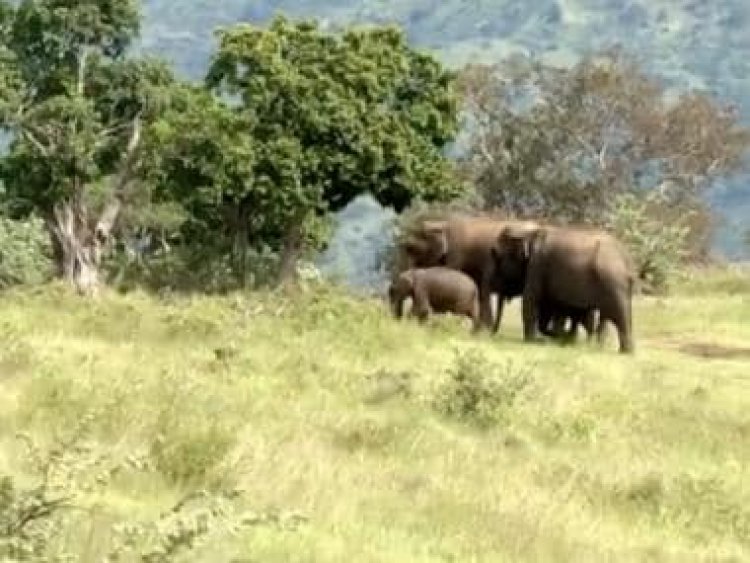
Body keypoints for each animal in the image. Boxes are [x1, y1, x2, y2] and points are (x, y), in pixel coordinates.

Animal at [494, 224, 636, 352]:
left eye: (499, 257)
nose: (492, 334)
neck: (530, 232)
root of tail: (627, 260)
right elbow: (552, 307)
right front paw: (562, 338)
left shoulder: (537, 264)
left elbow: (531, 299)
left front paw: (533, 341)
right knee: (607, 316)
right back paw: (597, 347)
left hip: (613, 282)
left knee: (619, 315)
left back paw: (623, 352)